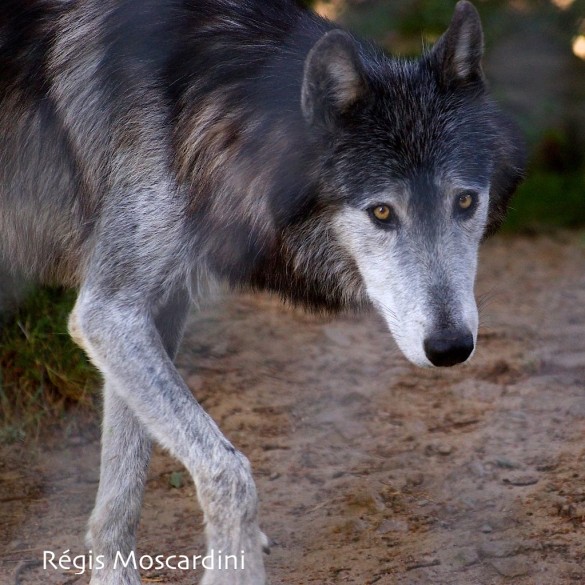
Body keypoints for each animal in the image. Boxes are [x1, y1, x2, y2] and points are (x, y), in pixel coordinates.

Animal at [0, 0, 524, 580]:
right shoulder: (109, 312)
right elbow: (229, 472)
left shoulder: (150, 310)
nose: (451, 347)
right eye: (382, 212)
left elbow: (122, 491)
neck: (201, 107)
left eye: (465, 202)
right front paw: (235, 565)